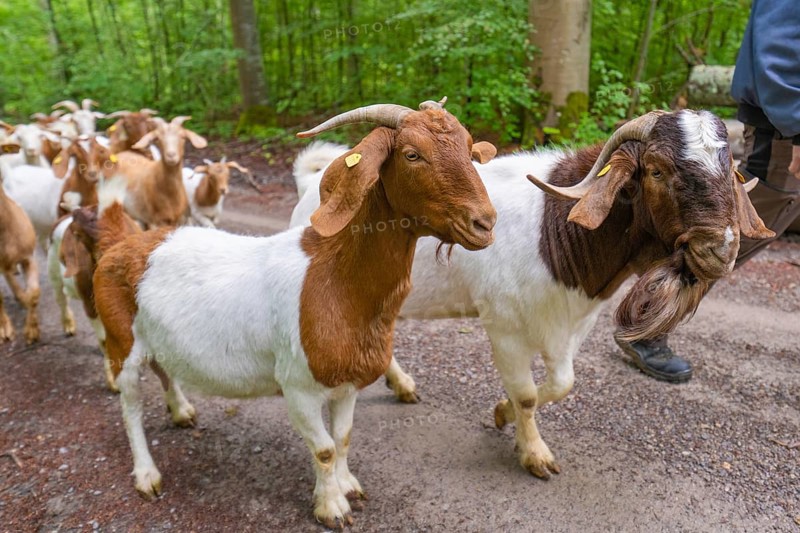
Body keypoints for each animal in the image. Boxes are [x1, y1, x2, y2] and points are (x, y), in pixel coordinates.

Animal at [93, 99, 497, 528]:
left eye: (469, 147)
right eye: (412, 154)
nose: (484, 222)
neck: (334, 281)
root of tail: (120, 246)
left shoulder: (348, 384)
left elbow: (343, 438)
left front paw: (347, 485)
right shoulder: (298, 387)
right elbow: (323, 448)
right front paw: (332, 507)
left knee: (164, 368)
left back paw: (182, 411)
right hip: (121, 344)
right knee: (131, 406)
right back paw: (146, 475)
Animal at [291, 109, 774, 479]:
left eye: (730, 170)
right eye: (656, 169)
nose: (719, 250)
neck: (553, 228)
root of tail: (311, 183)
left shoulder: (573, 322)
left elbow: (561, 383)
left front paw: (503, 413)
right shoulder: (503, 327)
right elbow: (526, 393)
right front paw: (533, 452)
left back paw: (403, 385)